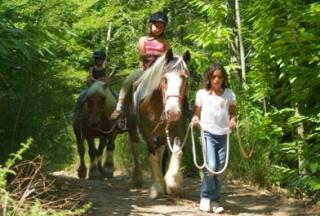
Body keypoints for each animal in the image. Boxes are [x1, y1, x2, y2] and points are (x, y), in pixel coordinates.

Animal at [125, 49, 190, 198]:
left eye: (184, 78)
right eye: (165, 78)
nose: (173, 111)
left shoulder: (178, 130)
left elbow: (176, 153)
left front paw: (171, 183)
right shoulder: (146, 132)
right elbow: (152, 156)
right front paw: (156, 187)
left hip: (161, 134)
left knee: (160, 153)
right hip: (133, 130)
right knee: (135, 148)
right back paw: (137, 180)